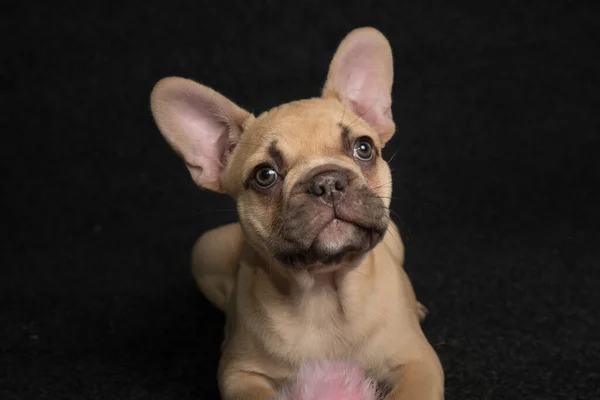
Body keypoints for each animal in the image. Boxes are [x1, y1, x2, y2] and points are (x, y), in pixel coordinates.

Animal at [149, 27, 440, 400]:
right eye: (265, 175)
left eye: (363, 148)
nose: (327, 181)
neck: (325, 292)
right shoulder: (241, 375)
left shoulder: (418, 363)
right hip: (205, 250)